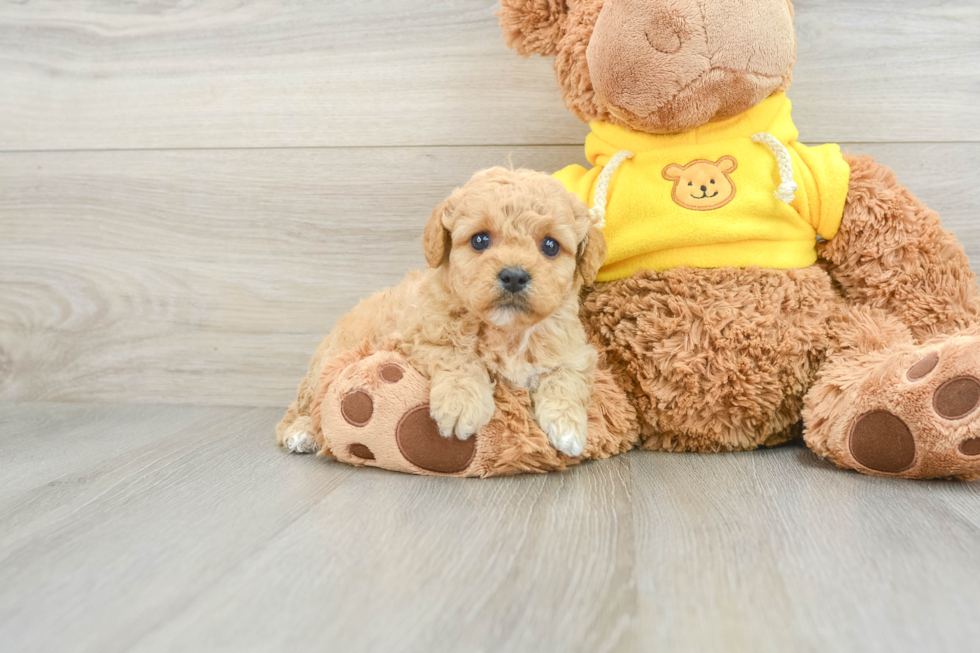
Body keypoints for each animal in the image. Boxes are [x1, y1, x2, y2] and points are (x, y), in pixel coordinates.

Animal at [276, 166, 608, 456]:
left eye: (551, 246)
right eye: (480, 240)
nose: (514, 276)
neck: (508, 332)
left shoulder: (574, 350)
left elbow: (565, 377)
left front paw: (567, 426)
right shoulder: (417, 337)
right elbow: (458, 356)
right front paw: (463, 405)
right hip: (324, 367)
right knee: (304, 405)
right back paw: (301, 431)